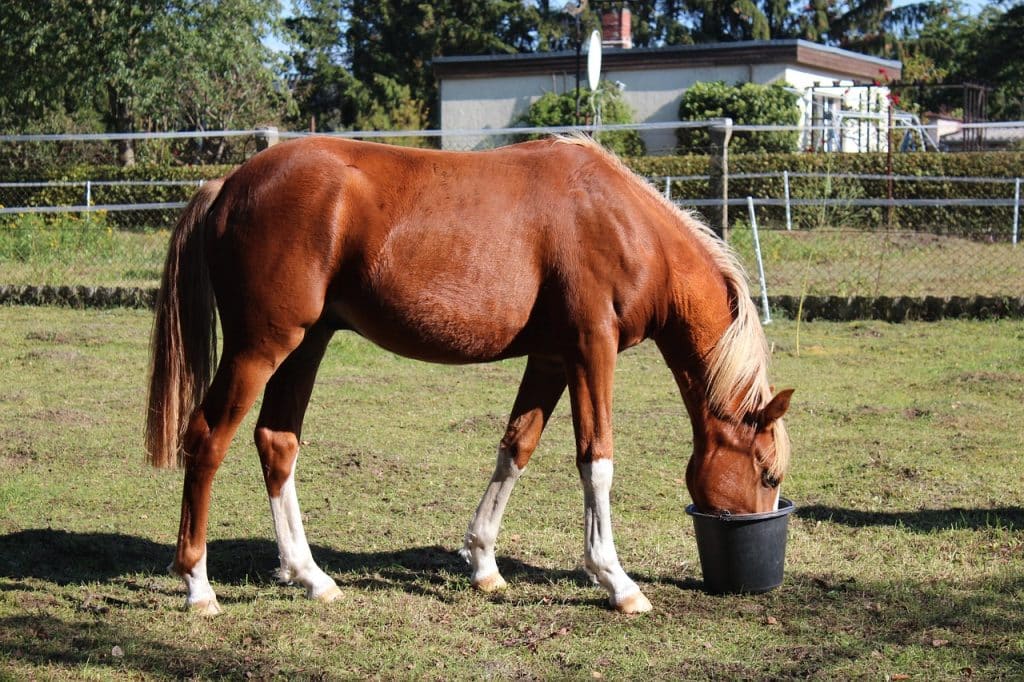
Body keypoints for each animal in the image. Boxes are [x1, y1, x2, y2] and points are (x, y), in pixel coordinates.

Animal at [146, 135, 790, 614]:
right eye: (767, 473)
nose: (760, 534)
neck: (624, 222)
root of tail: (227, 186)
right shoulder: (591, 350)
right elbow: (596, 461)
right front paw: (616, 580)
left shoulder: (551, 358)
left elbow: (516, 447)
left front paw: (483, 563)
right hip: (260, 347)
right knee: (207, 439)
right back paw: (198, 586)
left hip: (305, 345)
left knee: (277, 443)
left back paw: (310, 576)